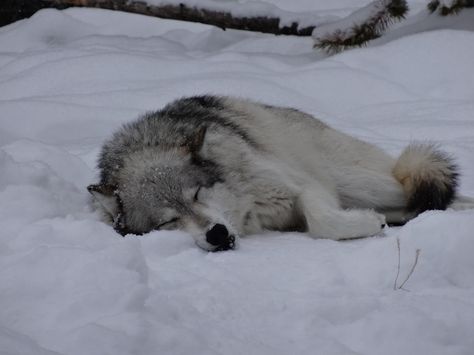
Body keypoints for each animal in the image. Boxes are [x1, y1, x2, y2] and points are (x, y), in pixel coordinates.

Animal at [87, 96, 472, 252]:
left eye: (196, 194)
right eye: (168, 221)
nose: (216, 233)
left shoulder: (303, 185)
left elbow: (322, 221)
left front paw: (366, 224)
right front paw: (368, 222)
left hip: (361, 182)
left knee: (441, 192)